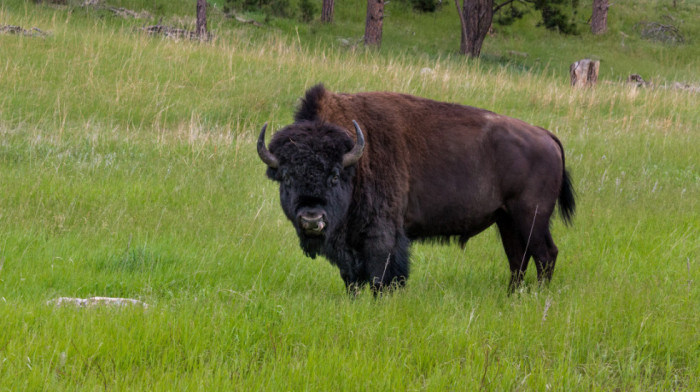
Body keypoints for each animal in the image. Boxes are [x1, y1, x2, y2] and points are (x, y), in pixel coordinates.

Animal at [258, 84, 576, 292]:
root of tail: (546, 136)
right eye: (286, 177)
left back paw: (537, 297)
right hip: (506, 219)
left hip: (531, 217)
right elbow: (352, 279)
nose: (311, 219)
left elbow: (381, 275)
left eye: (335, 175)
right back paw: (512, 297)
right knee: (518, 259)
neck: (356, 160)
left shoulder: (383, 235)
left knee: (545, 255)